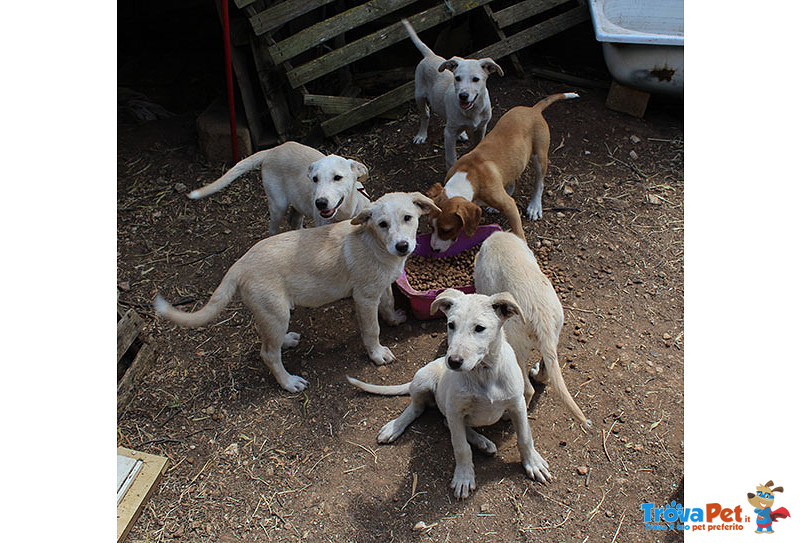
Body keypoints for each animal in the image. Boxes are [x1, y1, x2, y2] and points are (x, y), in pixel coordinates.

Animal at [189, 141, 370, 235]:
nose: (320, 203)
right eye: (315, 179)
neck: (345, 212)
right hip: (278, 205)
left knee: (294, 221)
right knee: (273, 229)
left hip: (298, 202)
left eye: (338, 177)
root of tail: (272, 149)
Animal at [346, 292, 552, 500]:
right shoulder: (455, 411)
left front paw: (533, 463)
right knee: (417, 408)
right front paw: (464, 477)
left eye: (479, 328)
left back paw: (483, 442)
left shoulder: (517, 404)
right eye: (451, 325)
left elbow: (525, 437)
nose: (453, 362)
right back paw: (394, 427)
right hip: (423, 380)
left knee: (447, 422)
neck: (483, 373)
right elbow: (461, 448)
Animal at [404, 19, 504, 170]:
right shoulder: (449, 135)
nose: (462, 96)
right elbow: (451, 159)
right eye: (457, 78)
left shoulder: (481, 128)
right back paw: (421, 135)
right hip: (419, 96)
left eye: (476, 79)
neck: (473, 111)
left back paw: (461, 134)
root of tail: (430, 55)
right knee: (425, 114)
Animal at [428, 93, 580, 253]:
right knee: (512, 179)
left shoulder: (509, 206)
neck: (467, 176)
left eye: (447, 230)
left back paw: (534, 206)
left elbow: (518, 231)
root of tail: (533, 110)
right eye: (430, 226)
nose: (433, 249)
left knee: (539, 183)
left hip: (540, 156)